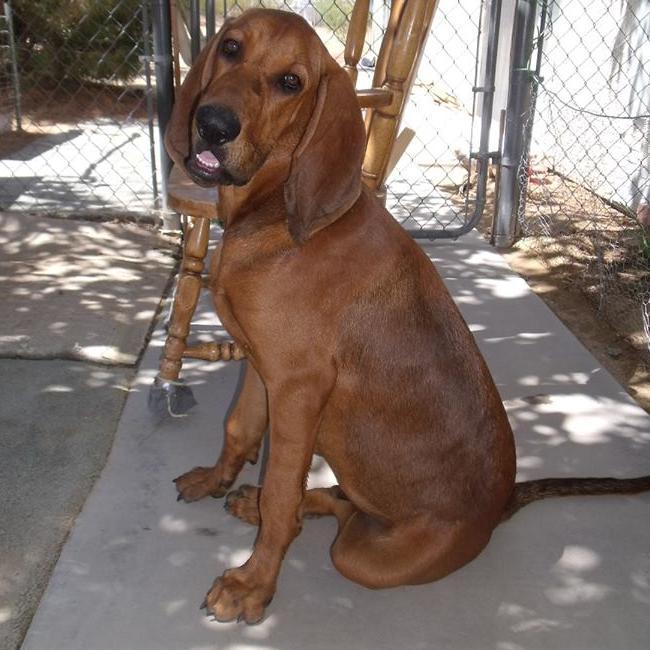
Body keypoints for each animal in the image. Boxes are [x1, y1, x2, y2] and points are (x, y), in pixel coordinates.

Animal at [165, 6, 648, 624]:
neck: (278, 214)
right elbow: (238, 428)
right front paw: (216, 479)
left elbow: (281, 492)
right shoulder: (259, 363)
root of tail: (501, 507)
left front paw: (253, 584)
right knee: (338, 501)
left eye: (291, 82)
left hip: (366, 557)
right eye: (229, 47)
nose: (214, 125)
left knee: (341, 523)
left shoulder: (298, 388)